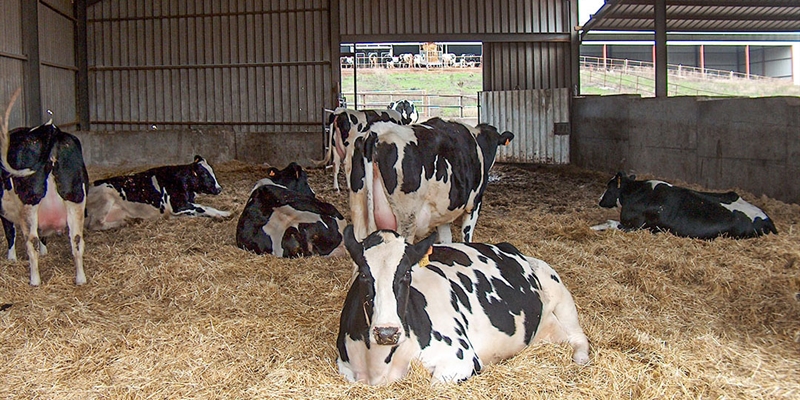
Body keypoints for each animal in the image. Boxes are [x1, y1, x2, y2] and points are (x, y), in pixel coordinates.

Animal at [0, 89, 90, 286]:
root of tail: (52, 131)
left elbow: (10, 233)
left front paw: (11, 259)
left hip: (30, 202)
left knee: (31, 241)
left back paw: (35, 281)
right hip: (75, 197)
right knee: (77, 240)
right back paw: (80, 279)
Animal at [86, 156, 230, 231]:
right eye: (205, 175)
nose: (219, 189)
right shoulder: (178, 205)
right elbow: (205, 207)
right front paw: (224, 214)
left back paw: (132, 220)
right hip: (105, 197)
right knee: (95, 224)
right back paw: (124, 223)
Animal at [334, 225, 592, 384]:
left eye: (406, 273)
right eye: (363, 274)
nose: (387, 332)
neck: (377, 363)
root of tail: (507, 246)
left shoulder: (460, 358)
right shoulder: (344, 364)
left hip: (558, 291)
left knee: (578, 337)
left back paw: (580, 359)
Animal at [348, 117, 512, 244]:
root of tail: (377, 131)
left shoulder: (443, 212)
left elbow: (447, 240)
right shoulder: (475, 203)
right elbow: (466, 237)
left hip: (359, 213)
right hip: (406, 221)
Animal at [592, 173, 776, 241]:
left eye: (609, 187)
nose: (599, 199)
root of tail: (767, 219)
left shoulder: (634, 226)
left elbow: (609, 222)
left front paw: (592, 227)